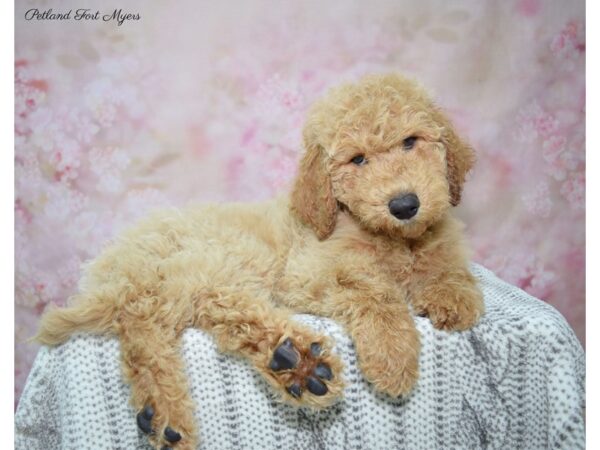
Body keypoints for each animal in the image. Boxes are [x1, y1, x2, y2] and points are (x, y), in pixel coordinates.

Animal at [35, 74, 486, 450]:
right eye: (358, 160)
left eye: (411, 141)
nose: (405, 204)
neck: (393, 238)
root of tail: (112, 265)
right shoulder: (306, 272)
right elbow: (373, 290)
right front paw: (393, 355)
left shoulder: (438, 242)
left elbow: (448, 265)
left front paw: (453, 296)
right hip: (214, 260)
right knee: (162, 316)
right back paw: (295, 361)